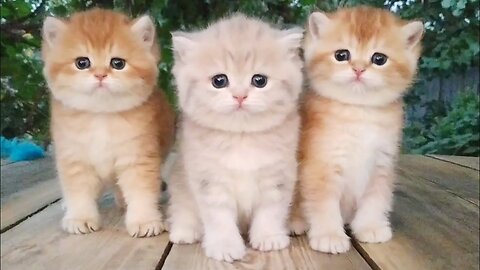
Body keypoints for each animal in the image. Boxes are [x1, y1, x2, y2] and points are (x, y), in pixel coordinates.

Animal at [42, 7, 175, 236]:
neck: (101, 115)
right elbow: (78, 191)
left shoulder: (137, 156)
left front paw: (144, 220)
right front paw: (80, 217)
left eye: (117, 63)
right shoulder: (74, 157)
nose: (100, 75)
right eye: (82, 63)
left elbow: (140, 191)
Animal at [168, 14, 304, 262]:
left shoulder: (279, 177)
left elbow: (270, 211)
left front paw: (269, 237)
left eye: (259, 80)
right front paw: (225, 245)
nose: (240, 96)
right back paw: (185, 231)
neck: (242, 138)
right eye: (219, 81)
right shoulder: (209, 181)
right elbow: (219, 218)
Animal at [288, 6, 424, 255]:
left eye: (379, 59)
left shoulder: (381, 164)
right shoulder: (321, 166)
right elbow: (324, 204)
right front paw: (329, 235)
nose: (359, 69)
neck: (359, 112)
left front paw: (370, 227)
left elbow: (375, 199)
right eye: (342, 55)